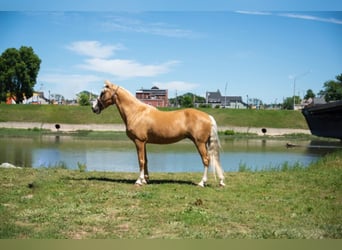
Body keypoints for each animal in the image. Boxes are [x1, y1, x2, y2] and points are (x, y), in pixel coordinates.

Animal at [91, 81, 224, 187]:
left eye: (102, 93)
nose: (94, 108)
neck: (136, 112)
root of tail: (208, 116)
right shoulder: (144, 142)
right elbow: (145, 160)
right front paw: (145, 180)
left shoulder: (139, 141)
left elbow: (141, 160)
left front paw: (139, 181)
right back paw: (221, 181)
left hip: (199, 143)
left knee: (206, 160)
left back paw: (202, 182)